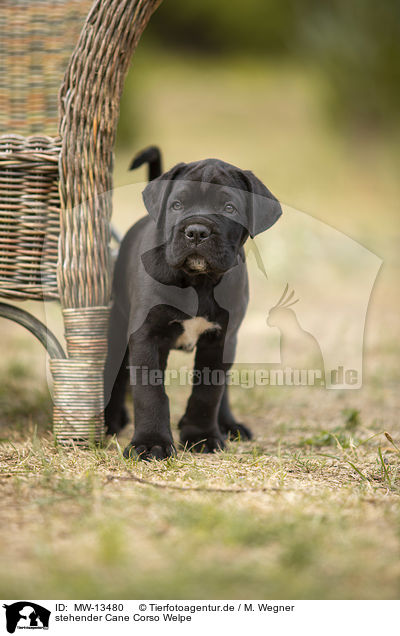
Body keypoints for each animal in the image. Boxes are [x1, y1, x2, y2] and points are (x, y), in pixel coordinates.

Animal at [104, 147, 282, 460]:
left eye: (229, 208)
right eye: (177, 205)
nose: (197, 231)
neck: (199, 282)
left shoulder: (221, 337)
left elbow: (209, 391)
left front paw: (202, 436)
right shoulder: (146, 335)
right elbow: (149, 392)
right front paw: (150, 443)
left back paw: (229, 424)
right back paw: (111, 418)